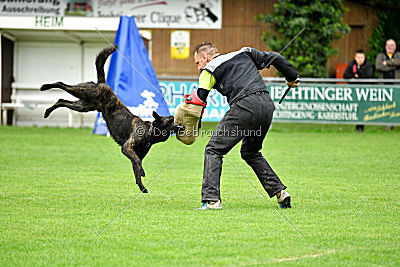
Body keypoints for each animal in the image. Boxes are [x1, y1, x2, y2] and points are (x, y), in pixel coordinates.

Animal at [40, 45, 181, 193]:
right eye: (171, 120)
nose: (180, 123)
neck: (150, 131)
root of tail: (103, 83)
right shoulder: (127, 148)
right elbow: (137, 164)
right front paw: (143, 173)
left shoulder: (135, 155)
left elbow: (136, 171)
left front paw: (142, 187)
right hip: (83, 92)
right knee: (62, 84)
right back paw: (45, 87)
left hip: (83, 105)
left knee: (61, 100)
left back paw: (47, 111)